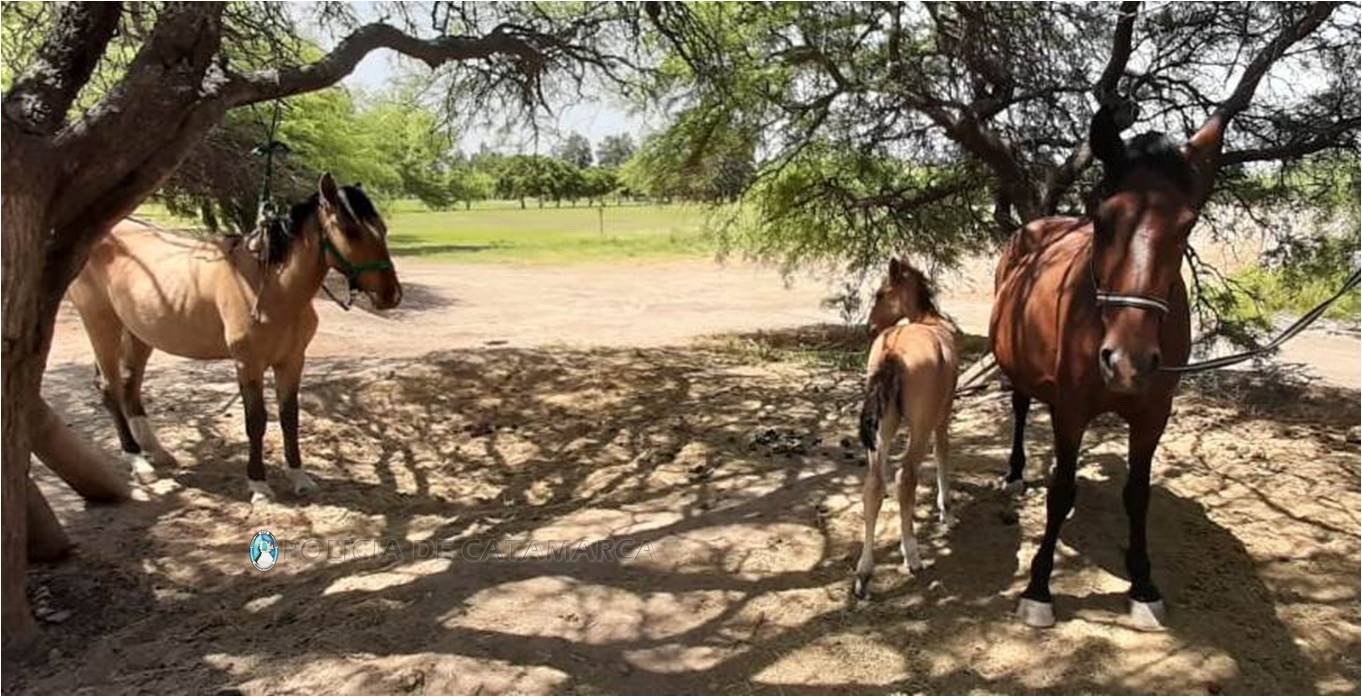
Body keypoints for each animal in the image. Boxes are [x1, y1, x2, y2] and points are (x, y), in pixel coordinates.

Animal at [67, 172, 400, 503]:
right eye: (350, 231)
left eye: (383, 228)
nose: (391, 295)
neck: (269, 287)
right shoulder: (248, 364)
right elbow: (256, 421)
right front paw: (259, 485)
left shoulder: (292, 361)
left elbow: (289, 417)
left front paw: (300, 478)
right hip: (101, 323)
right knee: (110, 387)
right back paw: (137, 460)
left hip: (139, 333)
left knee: (129, 384)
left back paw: (157, 453)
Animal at [849, 258, 958, 596]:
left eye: (880, 293)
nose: (870, 328)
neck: (931, 321)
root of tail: (893, 349)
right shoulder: (942, 415)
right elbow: (943, 453)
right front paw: (946, 510)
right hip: (919, 427)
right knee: (905, 477)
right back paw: (912, 553)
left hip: (883, 429)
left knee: (874, 485)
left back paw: (865, 571)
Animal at [986, 104, 1231, 631]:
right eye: (1103, 220)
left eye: (1186, 226)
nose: (1126, 362)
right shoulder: (1072, 409)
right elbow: (1061, 490)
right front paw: (1039, 589)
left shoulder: (1153, 414)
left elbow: (1137, 495)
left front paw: (1143, 584)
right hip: (1021, 373)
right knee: (1020, 407)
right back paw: (1015, 474)